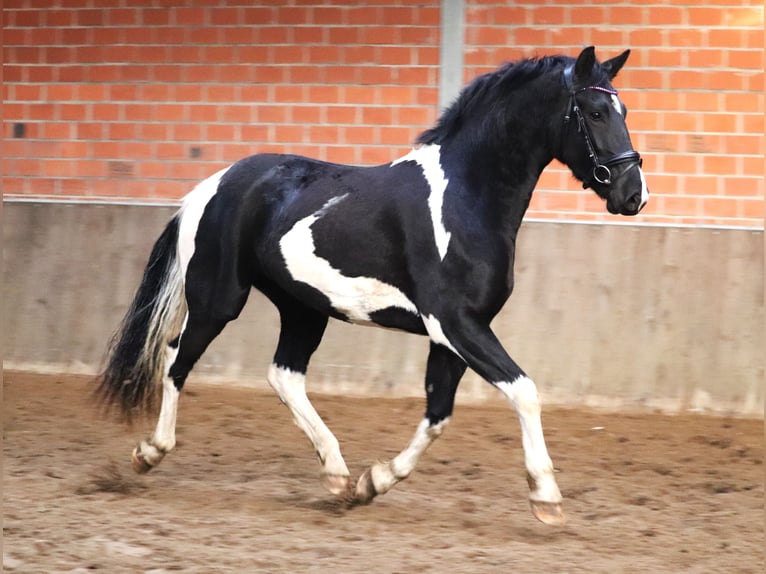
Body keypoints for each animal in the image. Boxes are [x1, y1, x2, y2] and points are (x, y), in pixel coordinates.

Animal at [97, 48, 648, 528]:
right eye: (596, 111)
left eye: (622, 108)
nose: (633, 195)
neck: (465, 199)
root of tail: (213, 185)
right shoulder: (457, 325)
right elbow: (525, 392)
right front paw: (546, 498)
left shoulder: (452, 334)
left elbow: (438, 413)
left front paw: (373, 482)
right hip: (219, 299)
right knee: (176, 358)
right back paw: (149, 453)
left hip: (303, 308)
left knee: (284, 375)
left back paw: (338, 475)